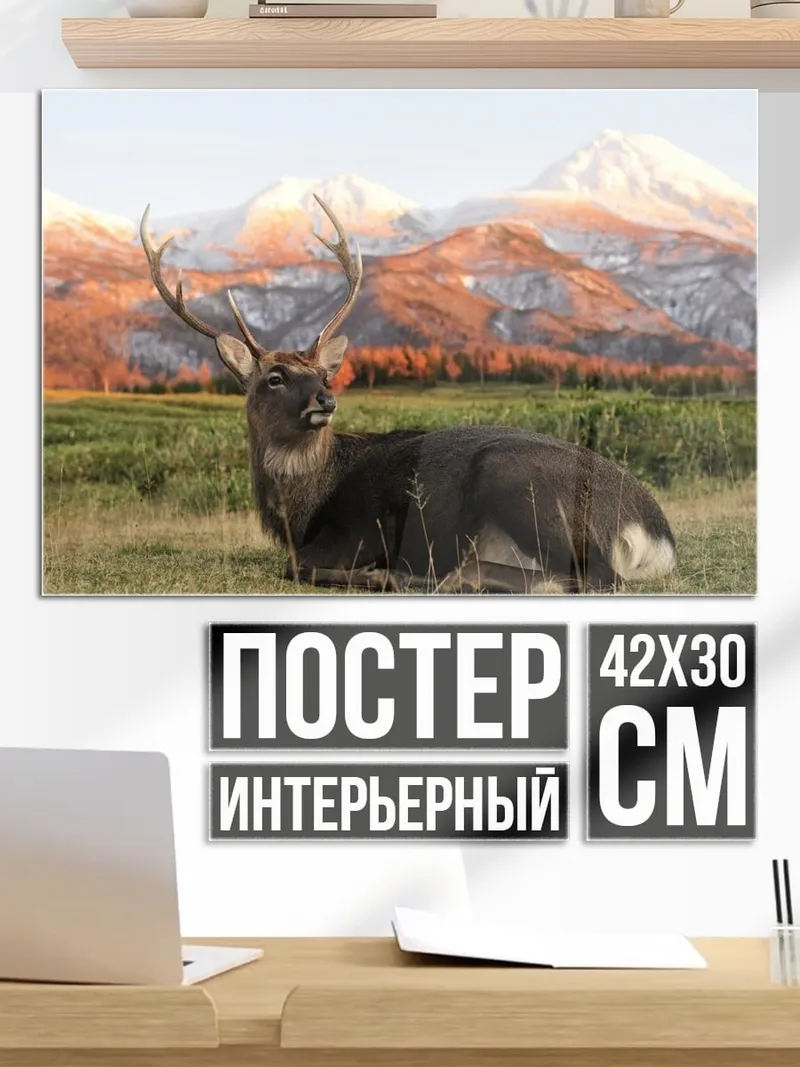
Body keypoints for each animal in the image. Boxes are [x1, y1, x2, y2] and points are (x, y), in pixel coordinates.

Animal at [140, 198, 677, 594]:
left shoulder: (357, 528)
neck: (300, 509)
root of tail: (654, 533)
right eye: (274, 377)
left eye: (324, 375)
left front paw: (374, 572)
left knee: (592, 577)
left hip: (518, 481)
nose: (324, 402)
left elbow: (296, 566)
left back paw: (424, 575)